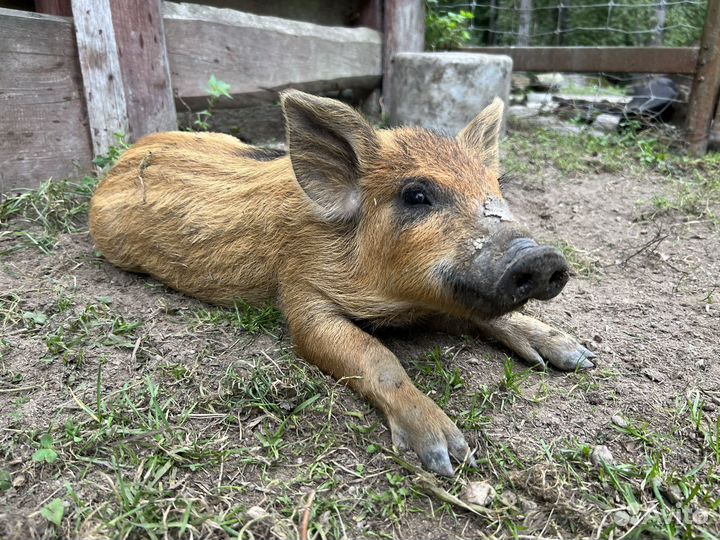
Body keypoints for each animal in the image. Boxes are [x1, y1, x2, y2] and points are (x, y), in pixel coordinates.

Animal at [89, 90, 595, 476]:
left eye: (496, 188)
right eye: (416, 195)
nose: (542, 256)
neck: (398, 306)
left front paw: (578, 358)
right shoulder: (301, 294)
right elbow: (375, 356)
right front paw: (450, 458)